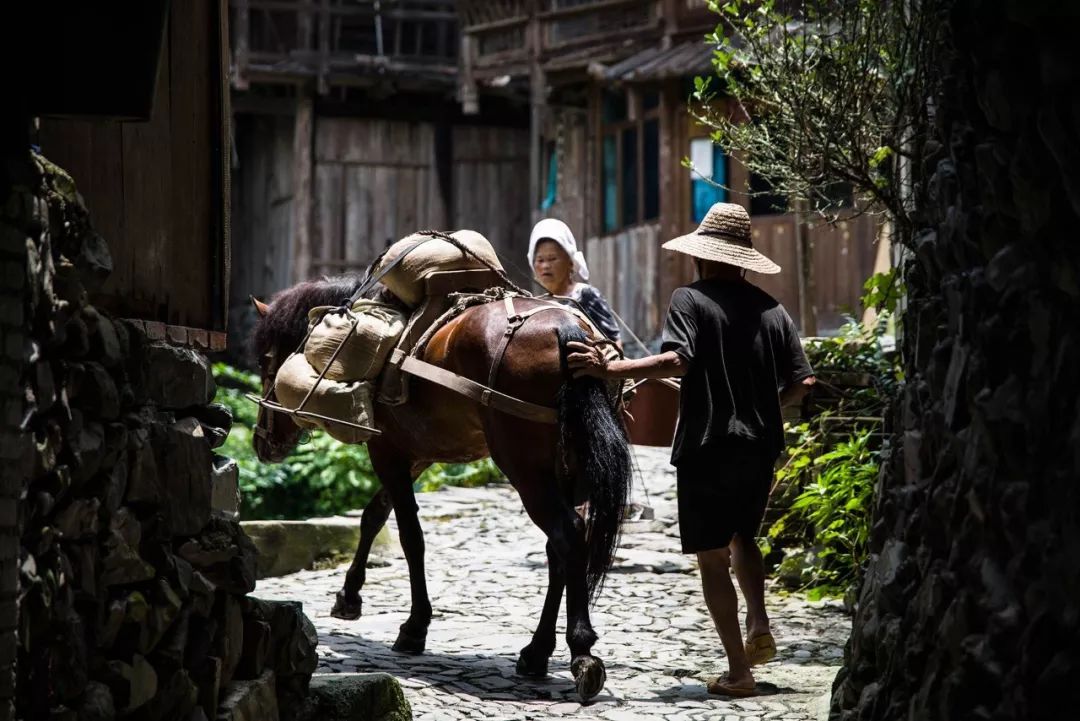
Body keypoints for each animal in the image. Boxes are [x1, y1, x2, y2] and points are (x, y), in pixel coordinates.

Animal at [247, 229, 630, 699]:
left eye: (266, 362)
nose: (262, 442)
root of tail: (570, 333)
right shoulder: (417, 454)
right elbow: (374, 515)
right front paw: (349, 597)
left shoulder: (388, 452)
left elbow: (410, 535)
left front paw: (414, 626)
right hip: (568, 469)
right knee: (560, 548)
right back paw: (536, 652)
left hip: (527, 470)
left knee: (567, 535)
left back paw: (581, 651)